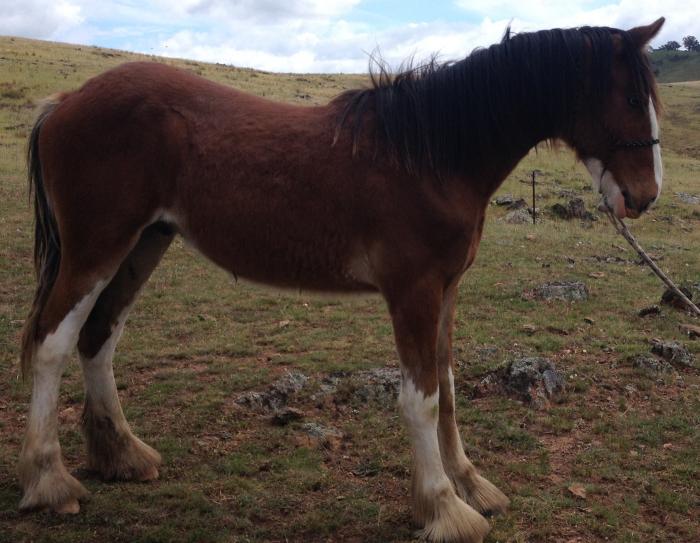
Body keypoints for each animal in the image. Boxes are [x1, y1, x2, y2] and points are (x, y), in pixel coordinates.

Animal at [18, 18, 664, 543]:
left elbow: (448, 388)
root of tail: (66, 101)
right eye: (633, 96)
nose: (644, 196)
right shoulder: (413, 292)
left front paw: (470, 485)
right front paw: (442, 508)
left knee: (98, 340)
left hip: (144, 244)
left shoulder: (447, 290)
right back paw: (50, 480)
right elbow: (422, 399)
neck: (431, 154)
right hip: (96, 250)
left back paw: (123, 456)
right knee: (52, 344)